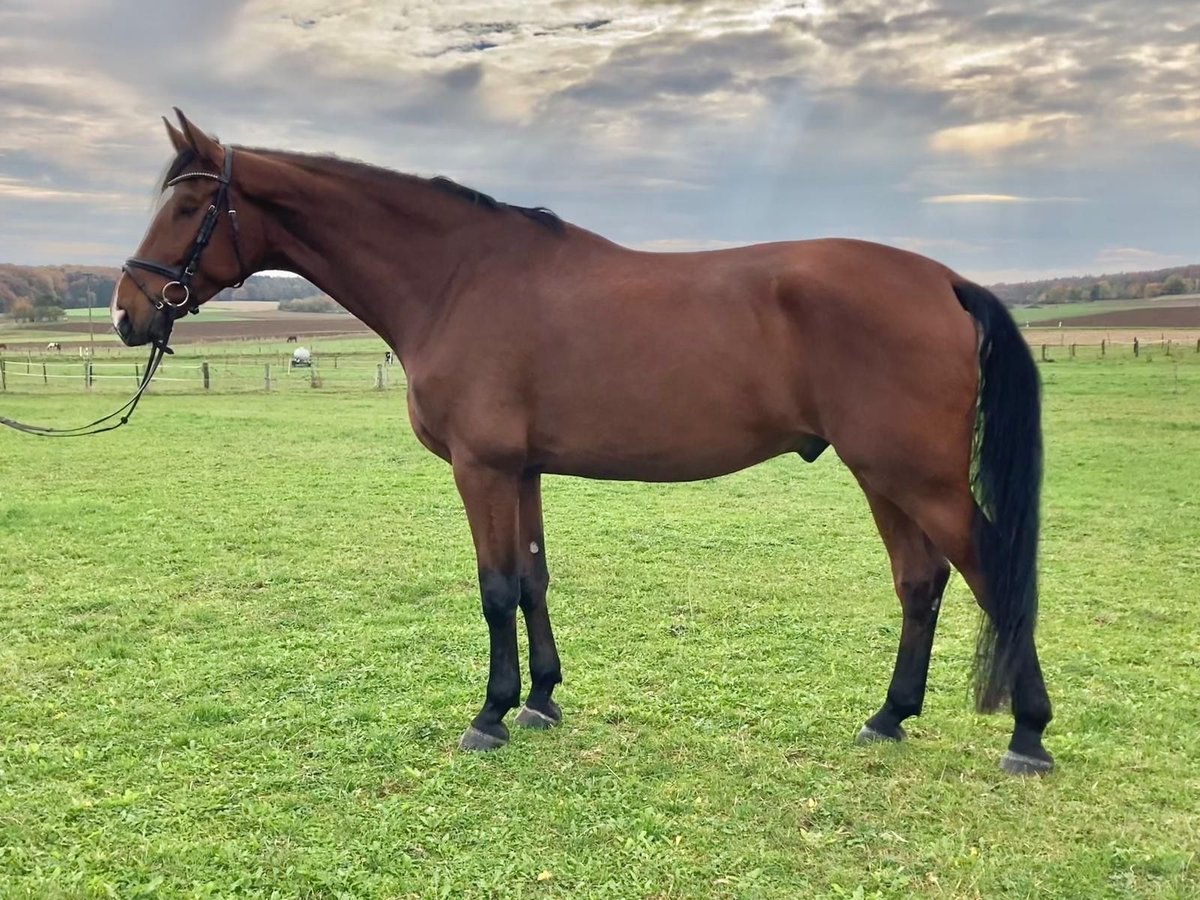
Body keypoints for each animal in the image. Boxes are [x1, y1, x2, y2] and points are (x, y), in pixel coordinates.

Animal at [108, 112, 1056, 777]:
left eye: (189, 207)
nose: (127, 312)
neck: (457, 280)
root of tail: (945, 280)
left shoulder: (482, 469)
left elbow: (494, 588)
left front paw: (489, 717)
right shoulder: (521, 471)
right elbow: (532, 579)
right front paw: (540, 702)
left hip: (916, 476)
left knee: (989, 571)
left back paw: (1029, 735)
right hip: (884, 476)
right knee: (921, 581)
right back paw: (889, 717)